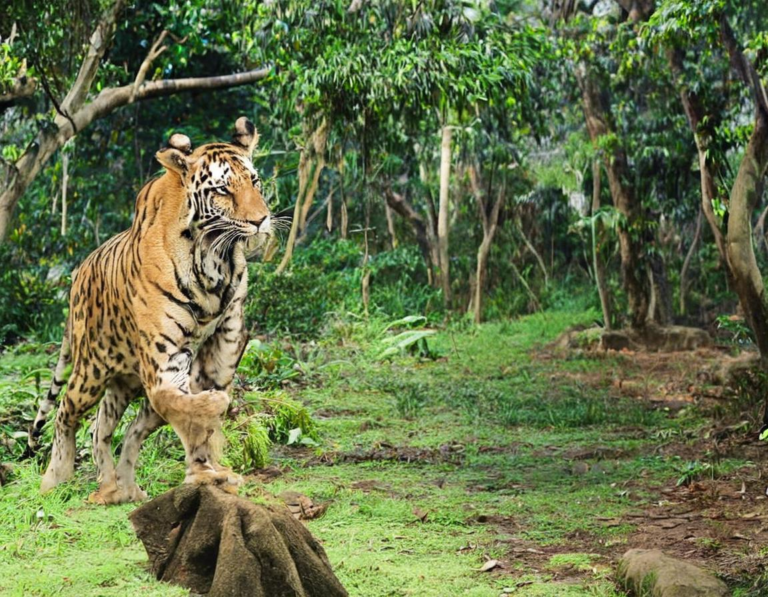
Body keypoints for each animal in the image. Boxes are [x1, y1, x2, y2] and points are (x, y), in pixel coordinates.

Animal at [27, 116, 272, 502]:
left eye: (255, 182)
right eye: (222, 190)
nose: (261, 220)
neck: (215, 260)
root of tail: (78, 274)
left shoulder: (222, 346)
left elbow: (197, 419)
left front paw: (208, 471)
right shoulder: (164, 360)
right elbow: (181, 406)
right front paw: (211, 420)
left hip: (123, 384)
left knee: (108, 428)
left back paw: (118, 488)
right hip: (90, 372)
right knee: (66, 411)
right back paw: (57, 477)